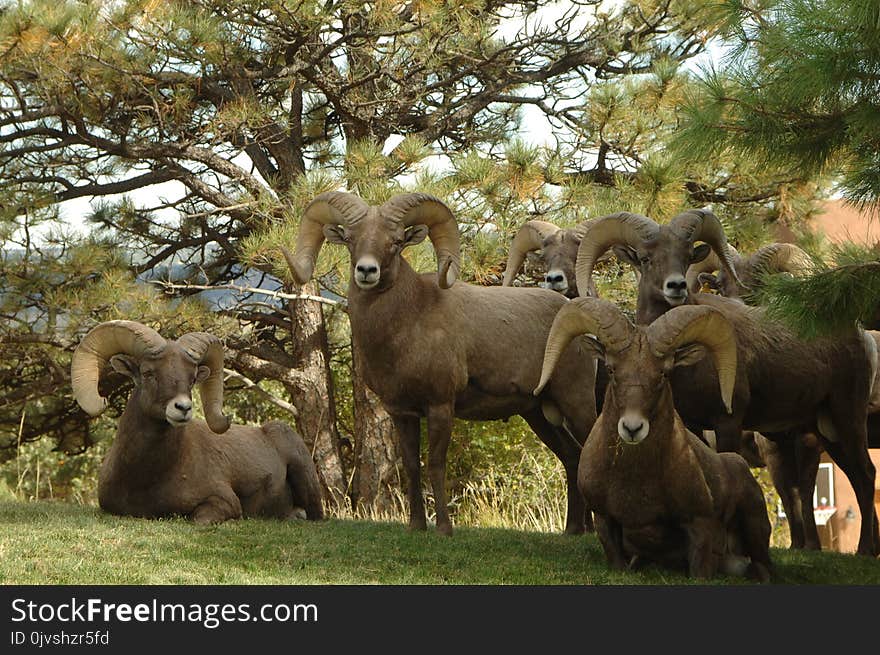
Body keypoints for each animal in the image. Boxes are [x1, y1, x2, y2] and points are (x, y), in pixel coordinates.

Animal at [69, 320, 324, 524]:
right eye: (148, 373)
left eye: (192, 379)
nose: (182, 408)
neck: (146, 479)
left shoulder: (223, 502)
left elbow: (198, 520)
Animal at [282, 191, 600, 540]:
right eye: (351, 240)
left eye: (396, 241)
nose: (367, 271)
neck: (407, 324)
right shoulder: (402, 413)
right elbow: (411, 466)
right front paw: (416, 526)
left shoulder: (440, 407)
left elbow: (435, 464)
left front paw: (444, 529)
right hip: (539, 414)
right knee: (572, 458)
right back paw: (572, 530)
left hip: (576, 403)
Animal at [532, 300, 768, 580]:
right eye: (611, 369)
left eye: (664, 374)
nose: (632, 428)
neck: (635, 480)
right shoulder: (604, 521)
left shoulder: (700, 525)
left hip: (756, 525)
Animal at [576, 209, 880, 552]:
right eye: (645, 258)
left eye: (685, 255)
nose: (676, 286)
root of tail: (860, 336)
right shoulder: (693, 426)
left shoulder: (729, 421)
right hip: (824, 430)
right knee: (852, 478)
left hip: (846, 418)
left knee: (865, 476)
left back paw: (864, 551)